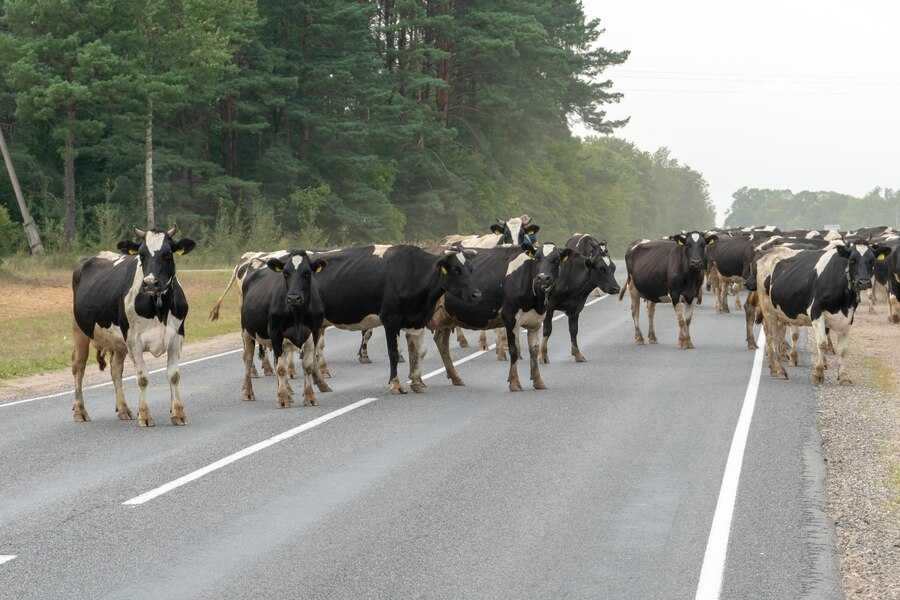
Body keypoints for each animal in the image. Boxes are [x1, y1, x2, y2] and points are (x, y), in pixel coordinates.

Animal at [71, 226, 195, 426]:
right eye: (141, 255)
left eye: (168, 254)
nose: (150, 283)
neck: (159, 309)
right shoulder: (134, 341)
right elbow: (143, 378)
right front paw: (144, 415)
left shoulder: (177, 337)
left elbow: (174, 375)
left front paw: (177, 413)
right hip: (80, 330)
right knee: (78, 367)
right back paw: (80, 412)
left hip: (118, 341)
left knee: (115, 369)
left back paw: (123, 409)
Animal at [239, 250, 330, 407]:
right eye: (286, 273)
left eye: (307, 273)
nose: (293, 298)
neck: (297, 315)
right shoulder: (276, 333)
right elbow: (281, 369)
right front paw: (282, 399)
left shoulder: (314, 332)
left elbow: (308, 366)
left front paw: (309, 397)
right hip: (247, 332)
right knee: (248, 360)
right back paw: (248, 393)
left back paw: (287, 391)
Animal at [311, 244, 481, 394]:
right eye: (456, 269)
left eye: (471, 269)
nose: (477, 294)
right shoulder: (390, 319)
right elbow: (393, 352)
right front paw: (396, 385)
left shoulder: (418, 320)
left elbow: (419, 351)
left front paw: (416, 383)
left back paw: (322, 385)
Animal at [430, 243, 572, 391]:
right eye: (537, 258)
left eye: (556, 260)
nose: (543, 278)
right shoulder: (510, 317)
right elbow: (514, 350)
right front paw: (514, 383)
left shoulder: (536, 321)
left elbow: (534, 350)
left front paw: (538, 382)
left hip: (447, 316)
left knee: (441, 342)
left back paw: (455, 378)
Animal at [754, 242, 891, 384]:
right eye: (852, 260)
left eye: (872, 261)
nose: (863, 282)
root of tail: (770, 252)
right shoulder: (816, 312)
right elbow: (822, 343)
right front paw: (819, 373)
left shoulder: (848, 318)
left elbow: (843, 349)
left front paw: (843, 376)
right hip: (768, 310)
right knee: (771, 337)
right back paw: (779, 369)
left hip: (778, 313)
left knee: (775, 337)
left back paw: (774, 368)